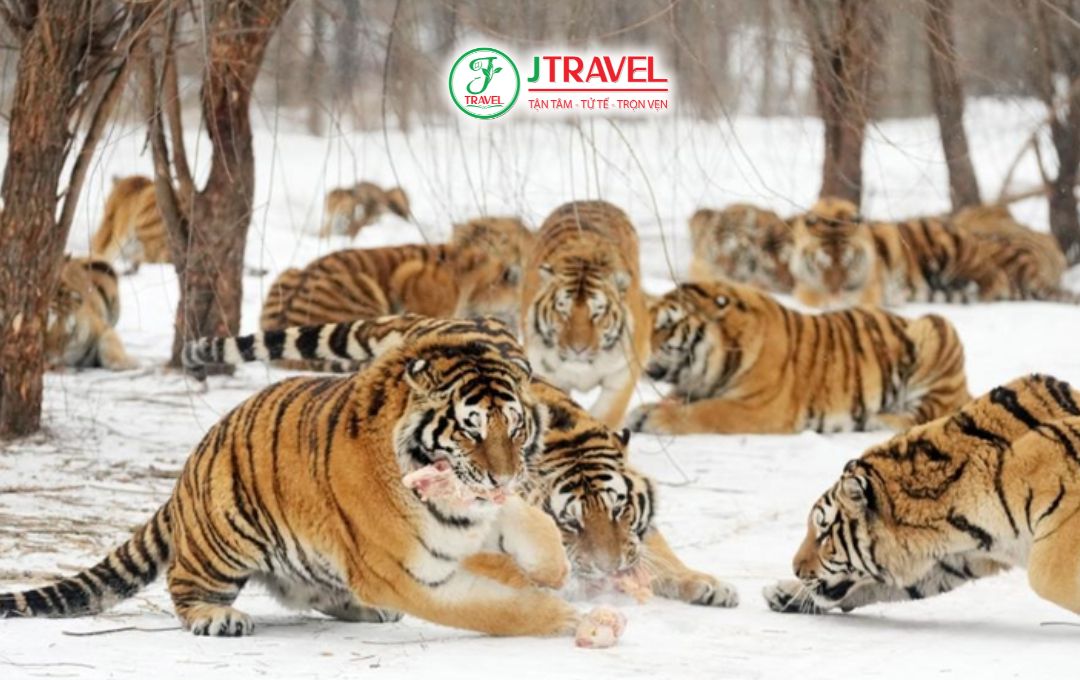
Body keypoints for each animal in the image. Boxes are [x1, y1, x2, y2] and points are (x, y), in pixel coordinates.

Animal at [1, 317, 629, 645]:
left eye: (513, 426)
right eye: (471, 428)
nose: (504, 473)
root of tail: (191, 463)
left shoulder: (483, 508)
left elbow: (533, 525)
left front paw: (556, 570)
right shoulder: (403, 573)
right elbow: (492, 609)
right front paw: (560, 617)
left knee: (313, 591)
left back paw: (363, 609)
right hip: (226, 540)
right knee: (184, 584)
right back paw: (217, 618)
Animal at [626, 280, 970, 435]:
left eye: (665, 326)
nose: (636, 351)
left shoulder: (759, 408)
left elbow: (705, 412)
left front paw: (652, 418)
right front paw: (645, 410)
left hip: (935, 326)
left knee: (928, 413)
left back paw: (878, 421)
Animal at [764, 373, 1080, 617]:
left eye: (824, 532)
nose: (795, 570)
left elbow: (1046, 577)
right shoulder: (953, 560)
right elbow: (884, 585)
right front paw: (783, 592)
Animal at [789, 197, 1079, 309]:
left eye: (848, 263)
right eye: (823, 264)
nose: (837, 291)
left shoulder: (866, 288)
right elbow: (811, 296)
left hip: (949, 245)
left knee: (992, 279)